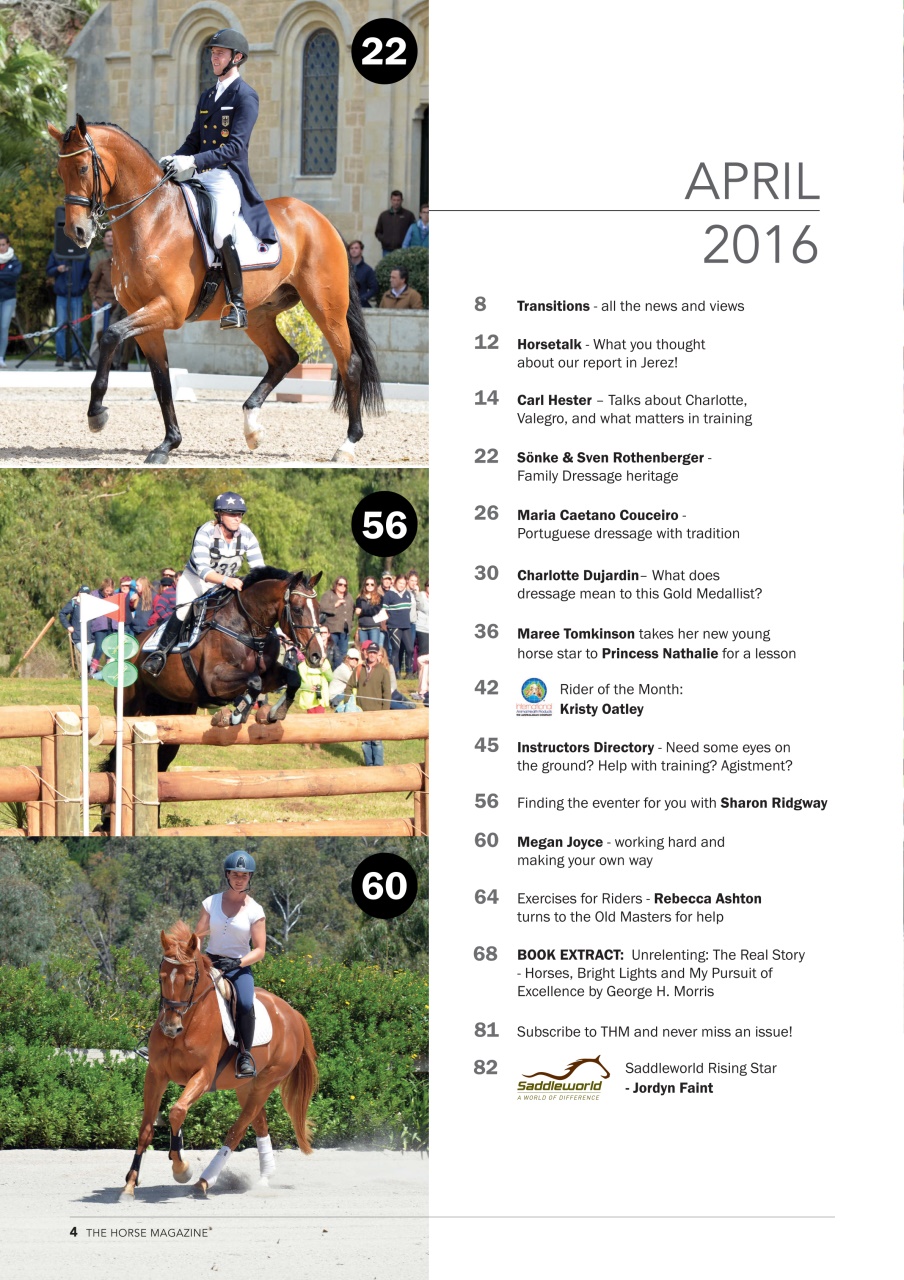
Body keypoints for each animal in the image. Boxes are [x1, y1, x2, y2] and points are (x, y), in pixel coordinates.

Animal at [48, 115, 383, 465]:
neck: (152, 219)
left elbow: (110, 336)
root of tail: (320, 220)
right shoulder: (145, 318)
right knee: (284, 358)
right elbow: (161, 379)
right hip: (259, 314)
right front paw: (168, 443)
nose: (76, 232)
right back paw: (252, 428)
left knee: (350, 364)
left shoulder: (168, 310)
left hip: (326, 307)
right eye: (60, 172)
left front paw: (97, 413)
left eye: (83, 168)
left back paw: (347, 444)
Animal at [109, 567, 325, 777]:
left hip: (173, 710)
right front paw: (234, 715)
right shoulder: (215, 680)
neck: (248, 627)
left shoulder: (269, 674)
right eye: (297, 610)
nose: (317, 655)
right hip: (132, 707)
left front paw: (274, 712)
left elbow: (292, 679)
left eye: (320, 611)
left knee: (164, 756)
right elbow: (254, 681)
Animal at [122, 921, 318, 1198]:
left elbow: (177, 1111)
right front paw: (130, 1183)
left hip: (267, 1081)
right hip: (246, 1086)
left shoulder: (203, 1076)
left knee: (237, 1131)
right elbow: (146, 1129)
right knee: (260, 1123)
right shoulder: (156, 1074)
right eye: (161, 978)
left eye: (190, 981)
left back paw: (204, 1181)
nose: (170, 1028)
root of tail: (293, 1014)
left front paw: (181, 1168)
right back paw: (264, 1178)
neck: (189, 1021)